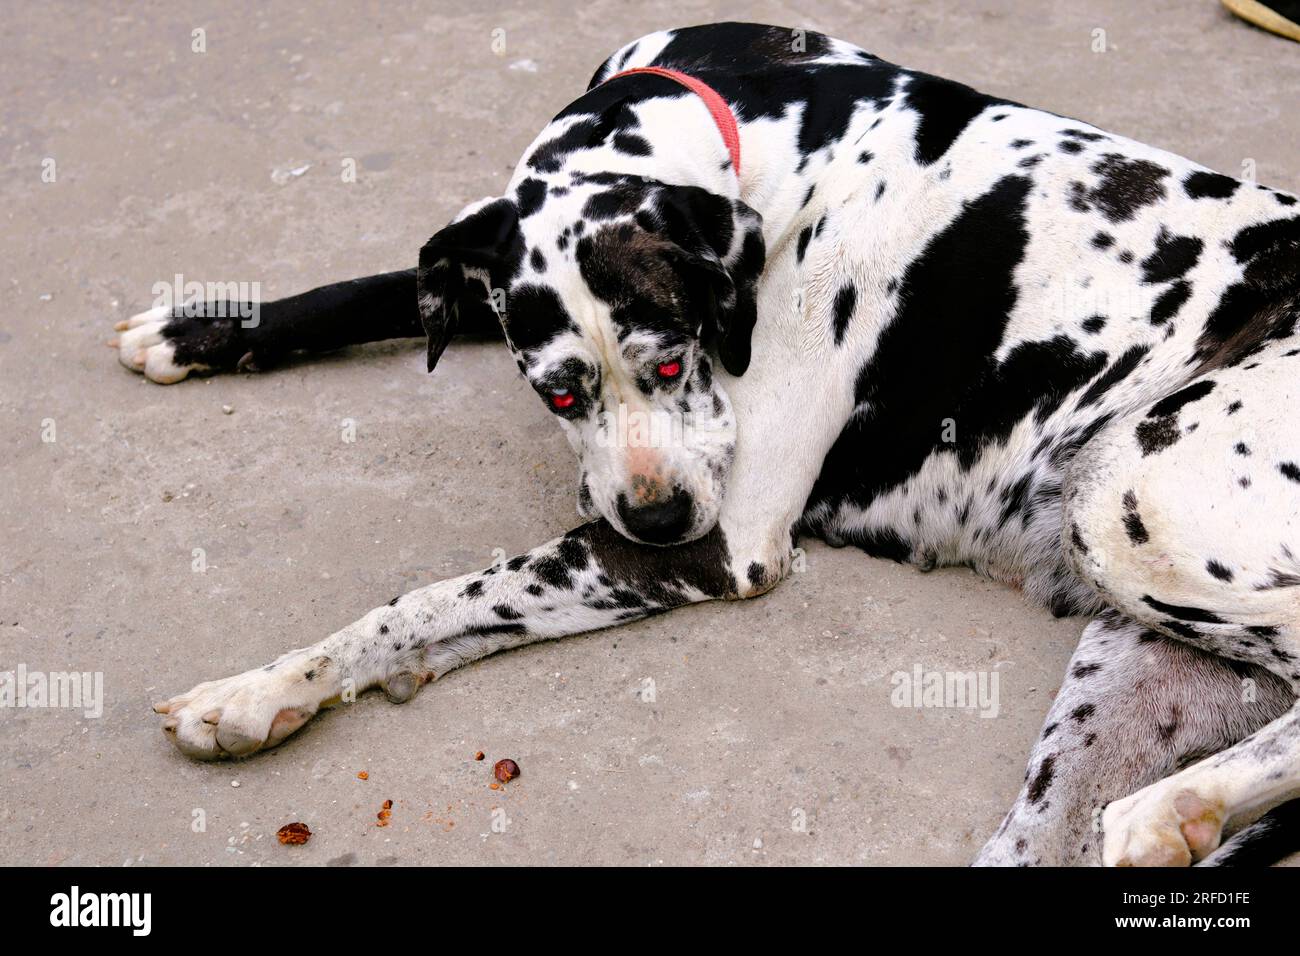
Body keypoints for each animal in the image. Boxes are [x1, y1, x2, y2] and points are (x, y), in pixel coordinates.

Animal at [116, 26, 1294, 868]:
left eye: (676, 360)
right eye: (558, 390)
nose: (655, 516)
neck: (755, 126)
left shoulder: (724, 542)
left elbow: (432, 596)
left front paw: (258, 686)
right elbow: (377, 288)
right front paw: (201, 327)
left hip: (1128, 502)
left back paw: (1173, 805)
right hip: (1128, 661)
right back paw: (1177, 811)